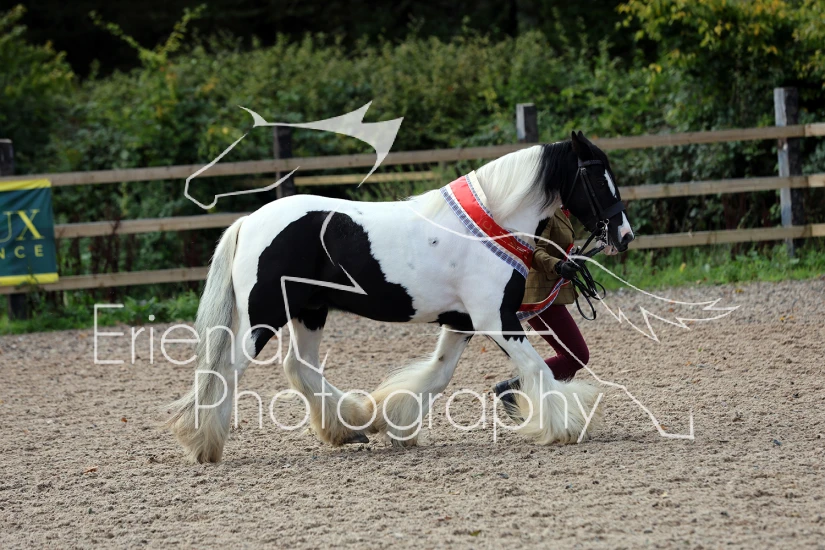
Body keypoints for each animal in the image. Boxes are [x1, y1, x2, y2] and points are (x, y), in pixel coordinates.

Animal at [166, 131, 634, 463]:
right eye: (598, 177)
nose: (625, 235)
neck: (490, 226)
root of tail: (249, 221)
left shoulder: (462, 322)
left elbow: (437, 375)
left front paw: (393, 423)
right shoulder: (496, 319)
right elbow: (536, 368)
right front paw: (567, 427)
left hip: (310, 311)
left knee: (298, 366)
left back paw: (351, 424)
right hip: (263, 316)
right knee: (226, 371)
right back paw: (204, 444)